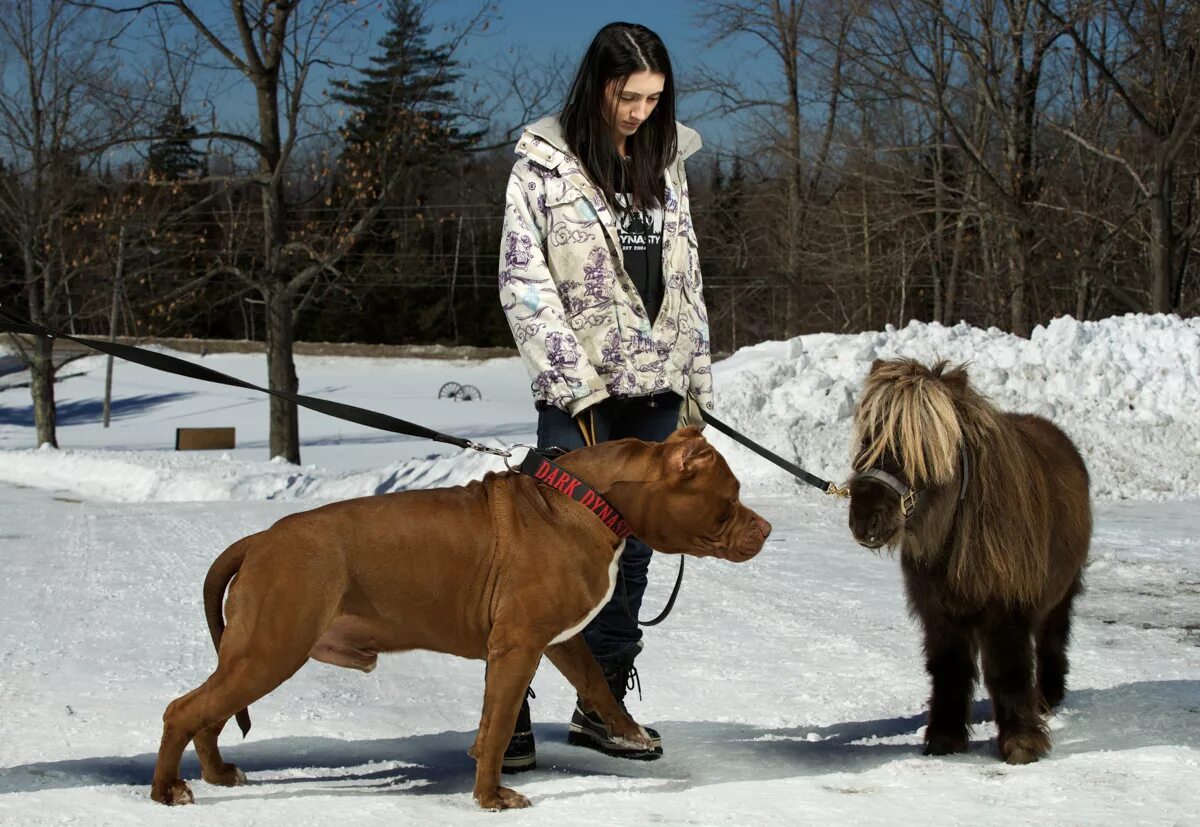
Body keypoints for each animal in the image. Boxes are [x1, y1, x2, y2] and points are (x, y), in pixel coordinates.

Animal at [150, 429, 772, 811]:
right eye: (730, 497)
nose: (765, 528)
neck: (589, 500)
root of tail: (258, 540)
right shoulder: (518, 646)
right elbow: (499, 726)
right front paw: (492, 798)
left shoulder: (557, 642)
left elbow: (593, 687)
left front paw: (630, 733)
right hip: (271, 648)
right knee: (183, 709)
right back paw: (167, 792)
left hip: (254, 654)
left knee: (209, 712)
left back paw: (218, 774)